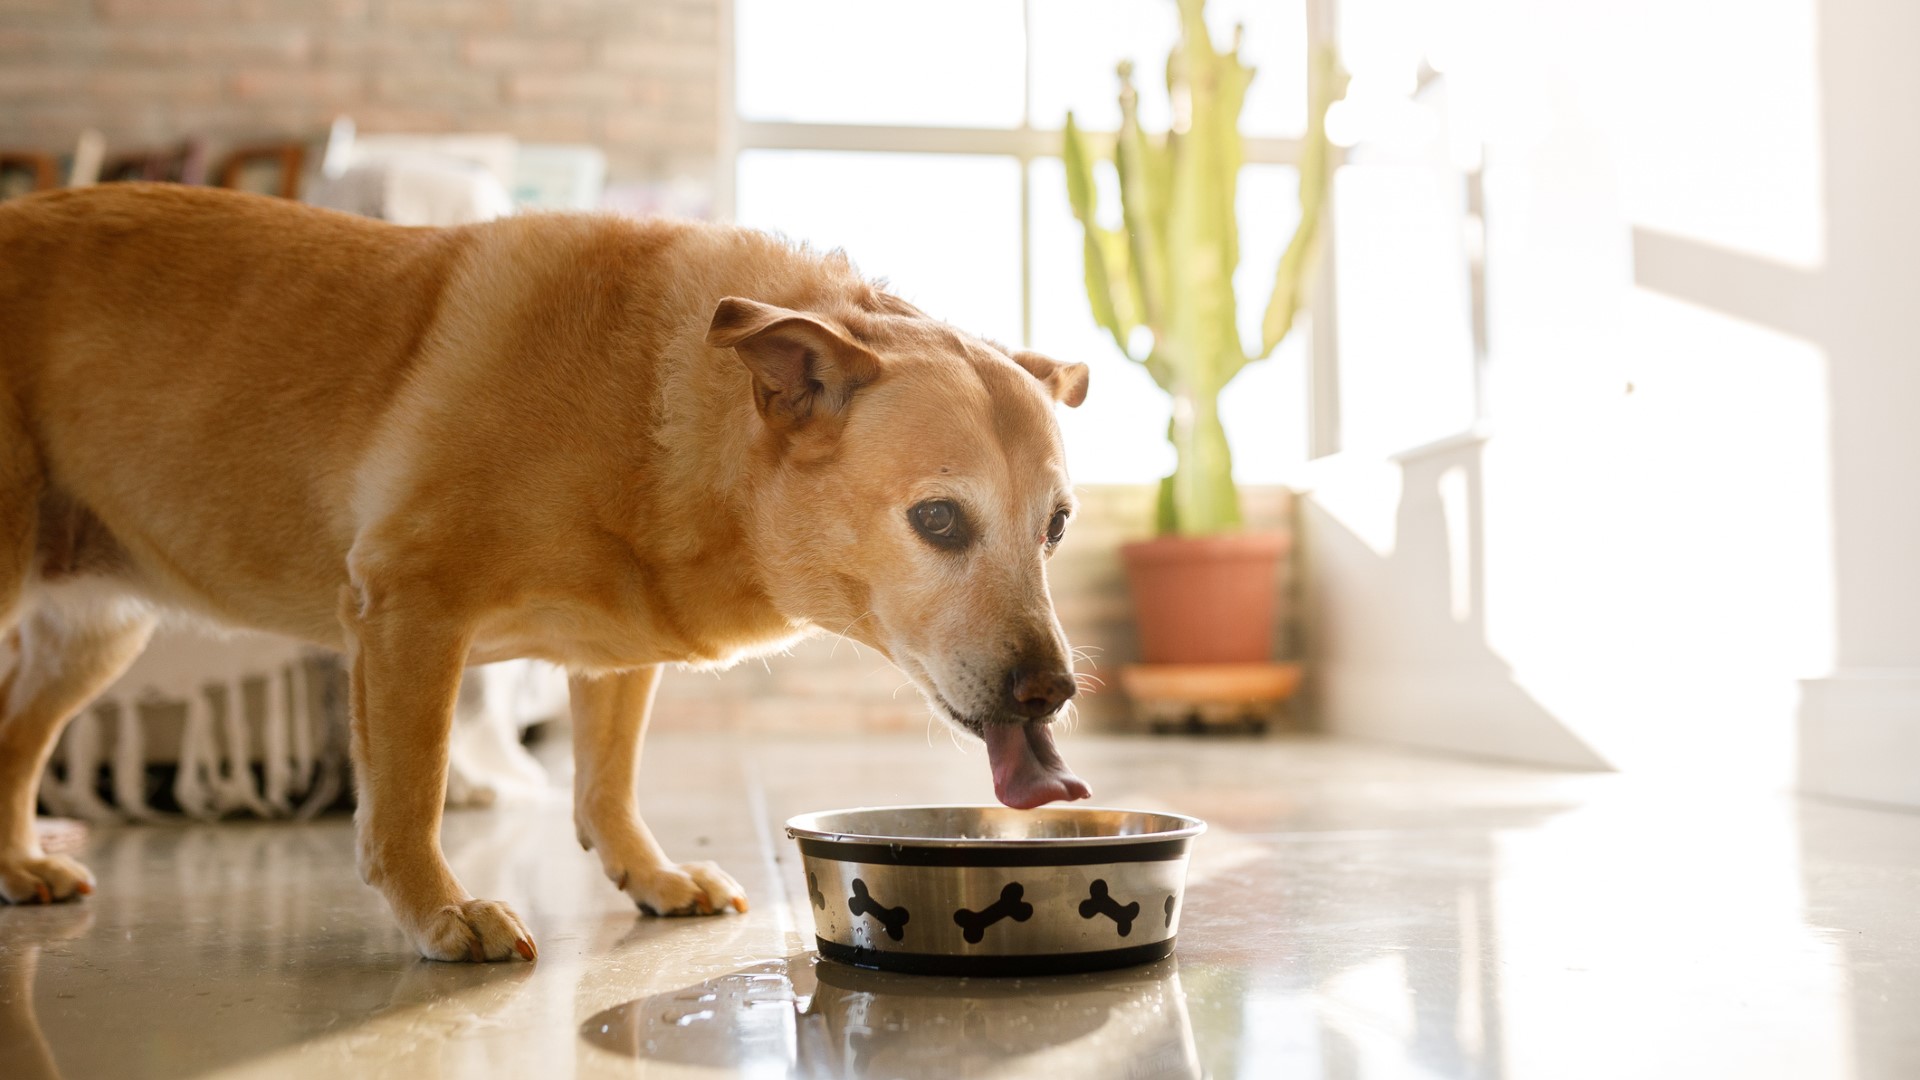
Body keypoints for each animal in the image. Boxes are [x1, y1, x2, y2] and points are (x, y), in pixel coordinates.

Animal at [0, 184, 1090, 957]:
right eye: (939, 520)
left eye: (1058, 527)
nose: (1053, 692)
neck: (653, 402)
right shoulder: (407, 611)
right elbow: (408, 796)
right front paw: (439, 913)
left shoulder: (613, 658)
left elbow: (606, 787)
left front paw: (653, 877)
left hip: (93, 637)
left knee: (13, 742)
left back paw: (18, 861)